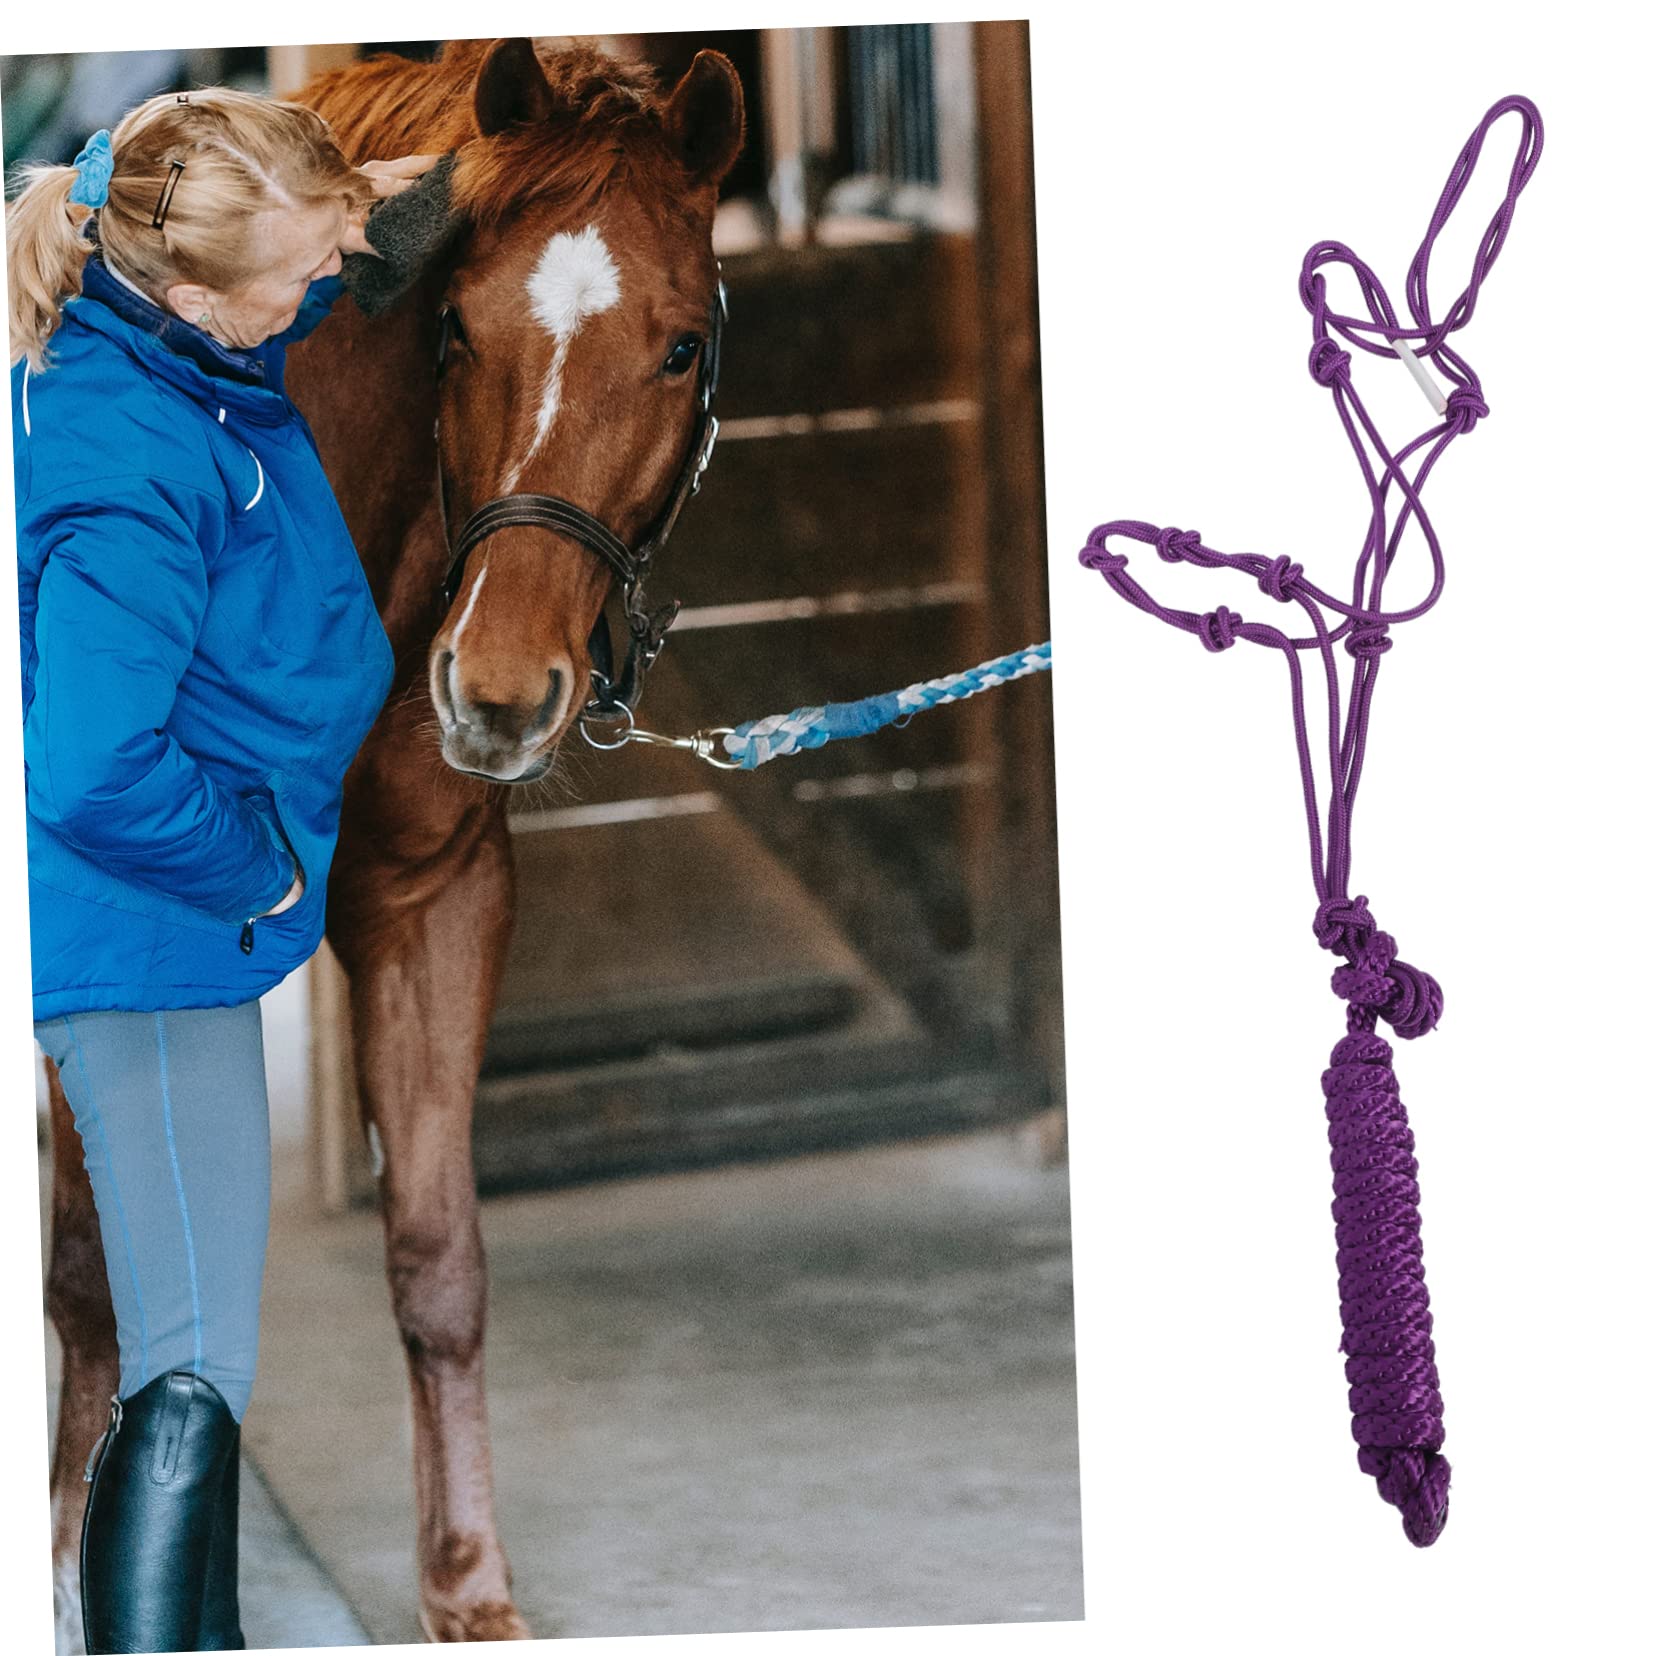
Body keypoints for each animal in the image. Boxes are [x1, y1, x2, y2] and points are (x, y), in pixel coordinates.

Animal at [42, 37, 745, 1645]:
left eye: (682, 348)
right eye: (457, 332)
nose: (496, 692)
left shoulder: (433, 904)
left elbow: (437, 1260)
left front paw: (469, 1590)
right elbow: (90, 1282)